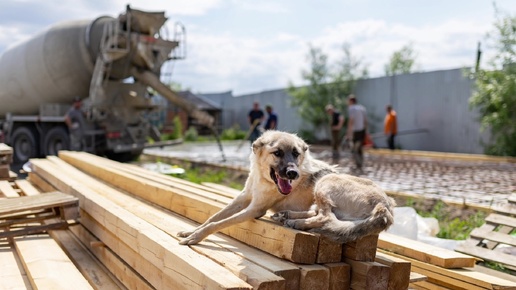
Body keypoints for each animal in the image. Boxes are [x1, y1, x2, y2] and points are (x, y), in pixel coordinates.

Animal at [177, 130, 396, 245]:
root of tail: (386, 205)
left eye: (296, 154)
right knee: (320, 214)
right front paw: (192, 231)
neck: (263, 179)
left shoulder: (255, 209)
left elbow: (218, 223)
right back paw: (287, 216)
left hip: (326, 181)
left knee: (325, 217)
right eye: (278, 153)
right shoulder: (243, 198)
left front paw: (196, 236)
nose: (293, 174)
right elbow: (213, 217)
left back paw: (295, 222)